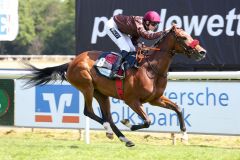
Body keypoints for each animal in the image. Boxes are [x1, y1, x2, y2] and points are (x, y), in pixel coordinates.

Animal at [23, 24, 206, 148]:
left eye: (190, 35)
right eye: (183, 37)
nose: (202, 51)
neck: (151, 68)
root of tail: (71, 62)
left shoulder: (155, 99)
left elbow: (178, 108)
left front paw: (184, 136)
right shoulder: (132, 100)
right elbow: (147, 121)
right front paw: (128, 122)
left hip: (101, 94)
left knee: (108, 117)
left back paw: (125, 139)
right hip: (87, 86)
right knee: (89, 112)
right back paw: (110, 131)